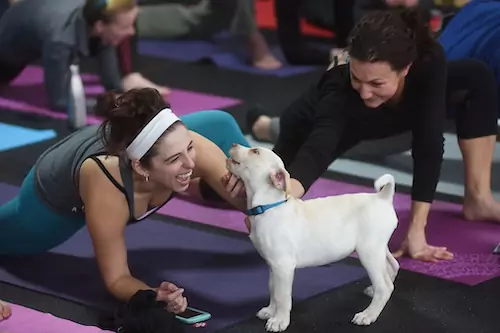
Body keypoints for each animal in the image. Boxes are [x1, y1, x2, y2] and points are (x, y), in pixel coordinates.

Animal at [229, 144, 400, 330]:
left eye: (255, 151)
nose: (233, 145)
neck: (268, 205)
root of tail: (383, 197)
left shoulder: (284, 266)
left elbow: (282, 296)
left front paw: (279, 321)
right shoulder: (273, 265)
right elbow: (273, 289)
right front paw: (270, 311)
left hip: (369, 252)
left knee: (384, 287)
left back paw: (368, 315)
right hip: (379, 247)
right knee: (393, 267)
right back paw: (372, 291)